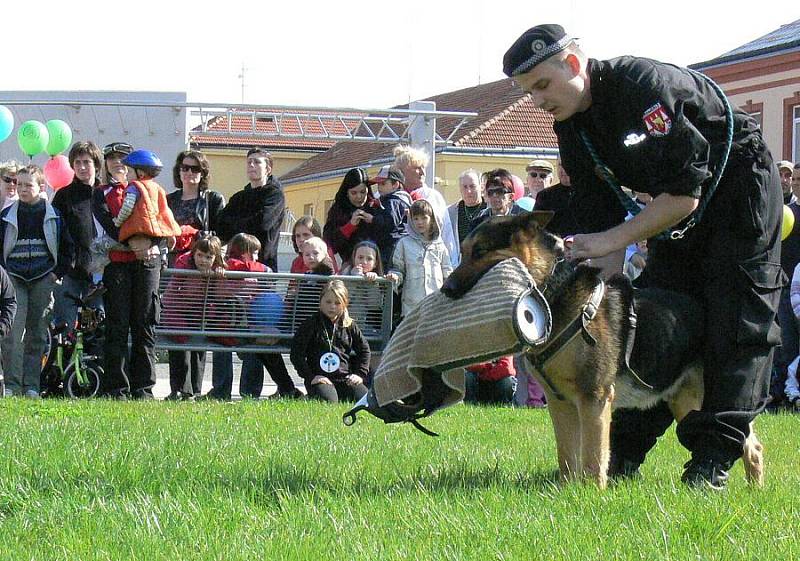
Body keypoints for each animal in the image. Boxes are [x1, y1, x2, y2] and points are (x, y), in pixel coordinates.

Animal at [444, 212, 764, 488]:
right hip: (686, 403)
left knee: (746, 440)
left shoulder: (594, 399)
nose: (446, 290)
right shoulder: (560, 403)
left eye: (480, 251)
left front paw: (591, 492)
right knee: (750, 443)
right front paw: (566, 490)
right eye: (464, 251)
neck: (550, 291)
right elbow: (567, 456)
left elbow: (594, 455)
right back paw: (752, 488)